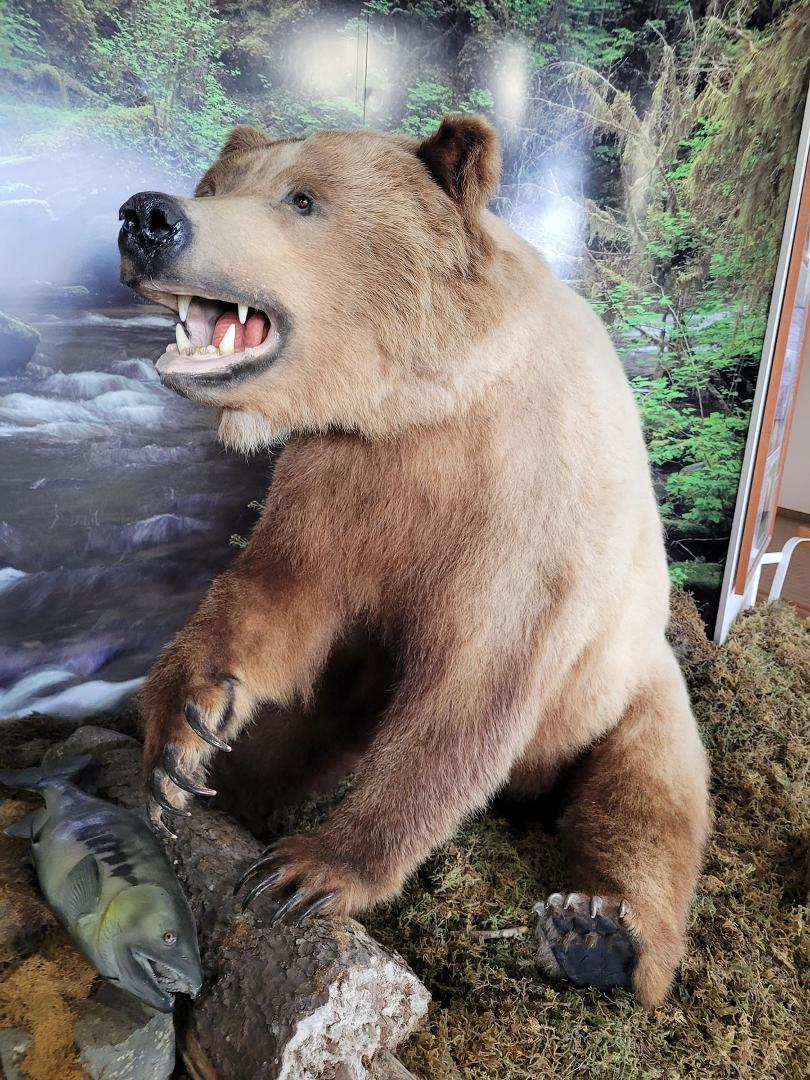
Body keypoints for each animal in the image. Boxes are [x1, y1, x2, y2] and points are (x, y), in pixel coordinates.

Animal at [119, 115, 710, 1007]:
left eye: (302, 199)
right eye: (217, 183)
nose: (148, 217)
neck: (426, 402)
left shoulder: (522, 516)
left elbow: (470, 697)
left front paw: (310, 871)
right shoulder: (340, 484)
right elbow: (275, 599)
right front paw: (180, 735)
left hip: (629, 690)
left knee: (646, 803)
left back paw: (597, 935)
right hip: (356, 689)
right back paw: (235, 797)